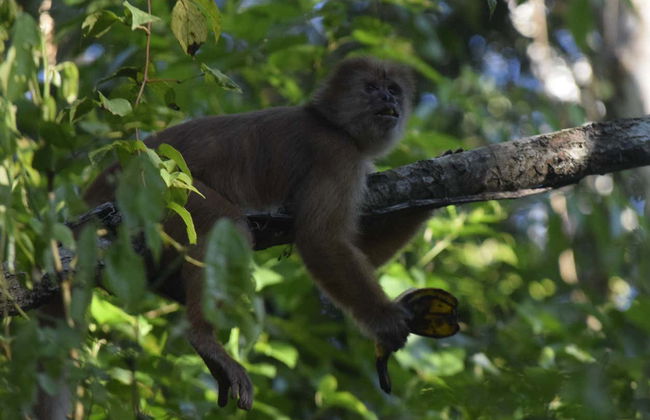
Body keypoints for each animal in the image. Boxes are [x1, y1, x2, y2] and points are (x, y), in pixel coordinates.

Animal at [84, 57, 431, 410]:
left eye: (393, 89)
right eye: (371, 88)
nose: (387, 100)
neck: (332, 124)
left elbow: (362, 253)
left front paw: (428, 197)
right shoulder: (337, 155)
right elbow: (320, 239)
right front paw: (385, 319)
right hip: (161, 191)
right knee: (227, 223)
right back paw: (203, 337)